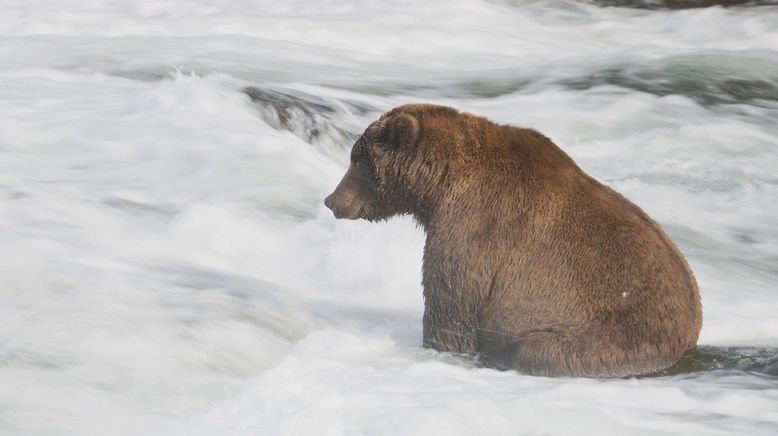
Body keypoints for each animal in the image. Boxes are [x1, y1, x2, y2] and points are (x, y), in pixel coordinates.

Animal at [322, 104, 696, 376]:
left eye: (356, 159)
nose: (330, 199)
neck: (439, 186)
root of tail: (689, 338)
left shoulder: (475, 228)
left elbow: (452, 303)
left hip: (604, 337)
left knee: (533, 350)